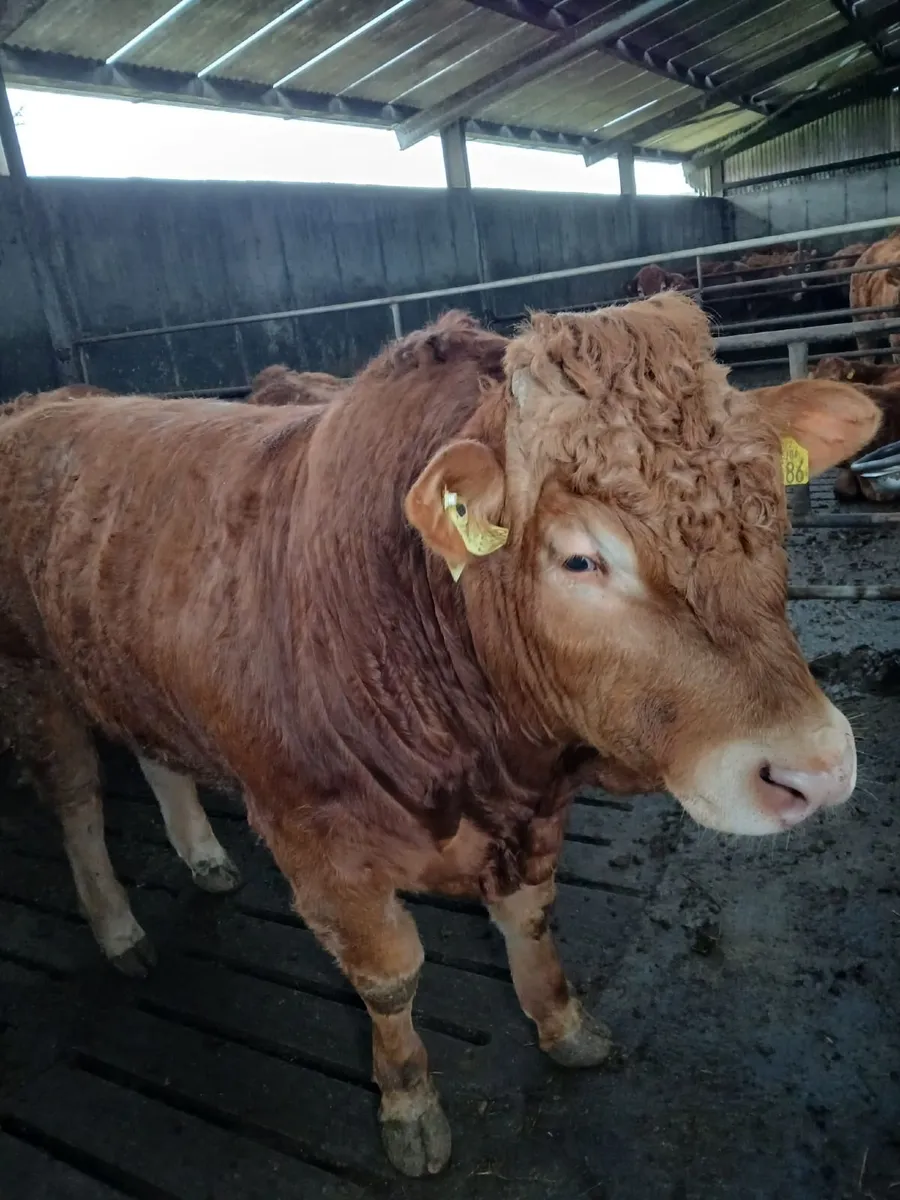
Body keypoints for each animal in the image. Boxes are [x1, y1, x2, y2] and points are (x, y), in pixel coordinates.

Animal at [0, 296, 879, 1177]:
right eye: (581, 559)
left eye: (767, 506)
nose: (816, 768)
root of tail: (42, 405)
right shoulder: (320, 845)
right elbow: (391, 979)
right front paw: (409, 1106)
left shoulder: (532, 814)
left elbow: (531, 921)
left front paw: (564, 1026)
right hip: (36, 682)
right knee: (77, 805)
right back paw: (117, 929)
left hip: (126, 672)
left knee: (158, 760)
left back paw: (204, 857)